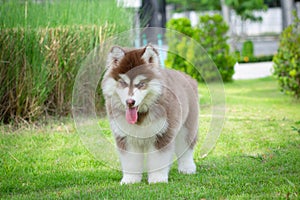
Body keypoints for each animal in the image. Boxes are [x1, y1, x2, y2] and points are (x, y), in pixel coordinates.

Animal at [101, 44, 199, 184]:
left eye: (141, 84)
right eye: (123, 83)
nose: (130, 102)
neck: (140, 116)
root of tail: (185, 75)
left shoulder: (162, 134)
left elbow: (158, 160)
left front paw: (158, 179)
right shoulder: (126, 138)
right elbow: (130, 162)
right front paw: (130, 180)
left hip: (187, 127)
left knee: (186, 148)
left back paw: (187, 168)